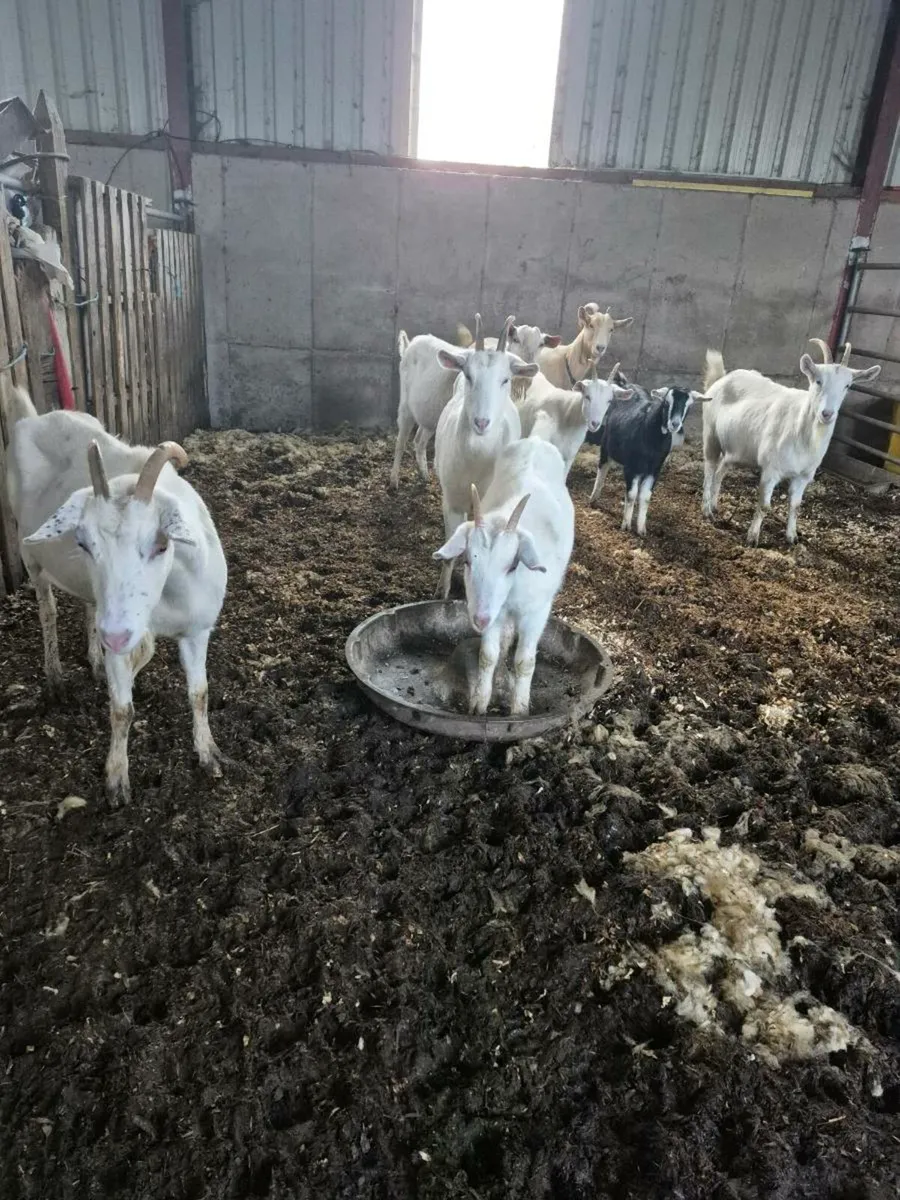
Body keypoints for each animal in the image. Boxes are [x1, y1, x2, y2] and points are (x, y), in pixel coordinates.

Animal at [2, 385, 228, 803]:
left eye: (161, 543)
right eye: (83, 543)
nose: (115, 636)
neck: (166, 598)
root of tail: (33, 417)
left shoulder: (197, 629)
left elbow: (200, 693)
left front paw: (209, 754)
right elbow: (121, 709)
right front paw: (116, 778)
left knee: (88, 606)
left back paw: (92, 659)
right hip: (29, 555)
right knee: (47, 611)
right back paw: (56, 678)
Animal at [432, 435, 574, 716]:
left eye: (512, 565)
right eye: (467, 561)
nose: (479, 619)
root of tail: (536, 439)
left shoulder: (537, 612)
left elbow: (525, 662)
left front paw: (519, 711)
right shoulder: (494, 612)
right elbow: (487, 656)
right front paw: (479, 705)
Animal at [433, 315, 539, 598]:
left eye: (505, 379)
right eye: (468, 375)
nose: (481, 422)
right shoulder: (452, 500)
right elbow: (451, 550)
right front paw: (442, 592)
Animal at [588, 370, 709, 535]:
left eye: (688, 406)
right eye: (666, 402)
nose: (675, 424)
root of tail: (627, 384)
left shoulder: (654, 469)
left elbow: (645, 497)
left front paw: (641, 529)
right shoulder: (631, 467)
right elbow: (632, 495)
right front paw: (626, 525)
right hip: (606, 446)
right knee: (602, 470)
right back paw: (594, 498)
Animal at [701, 340, 881, 546]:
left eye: (848, 385)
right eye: (818, 381)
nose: (827, 414)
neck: (803, 435)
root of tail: (721, 378)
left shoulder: (803, 476)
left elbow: (795, 506)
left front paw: (792, 537)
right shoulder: (771, 469)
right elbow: (764, 505)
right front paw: (753, 538)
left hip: (737, 449)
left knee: (722, 469)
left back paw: (714, 505)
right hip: (711, 433)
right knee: (709, 468)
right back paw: (706, 510)